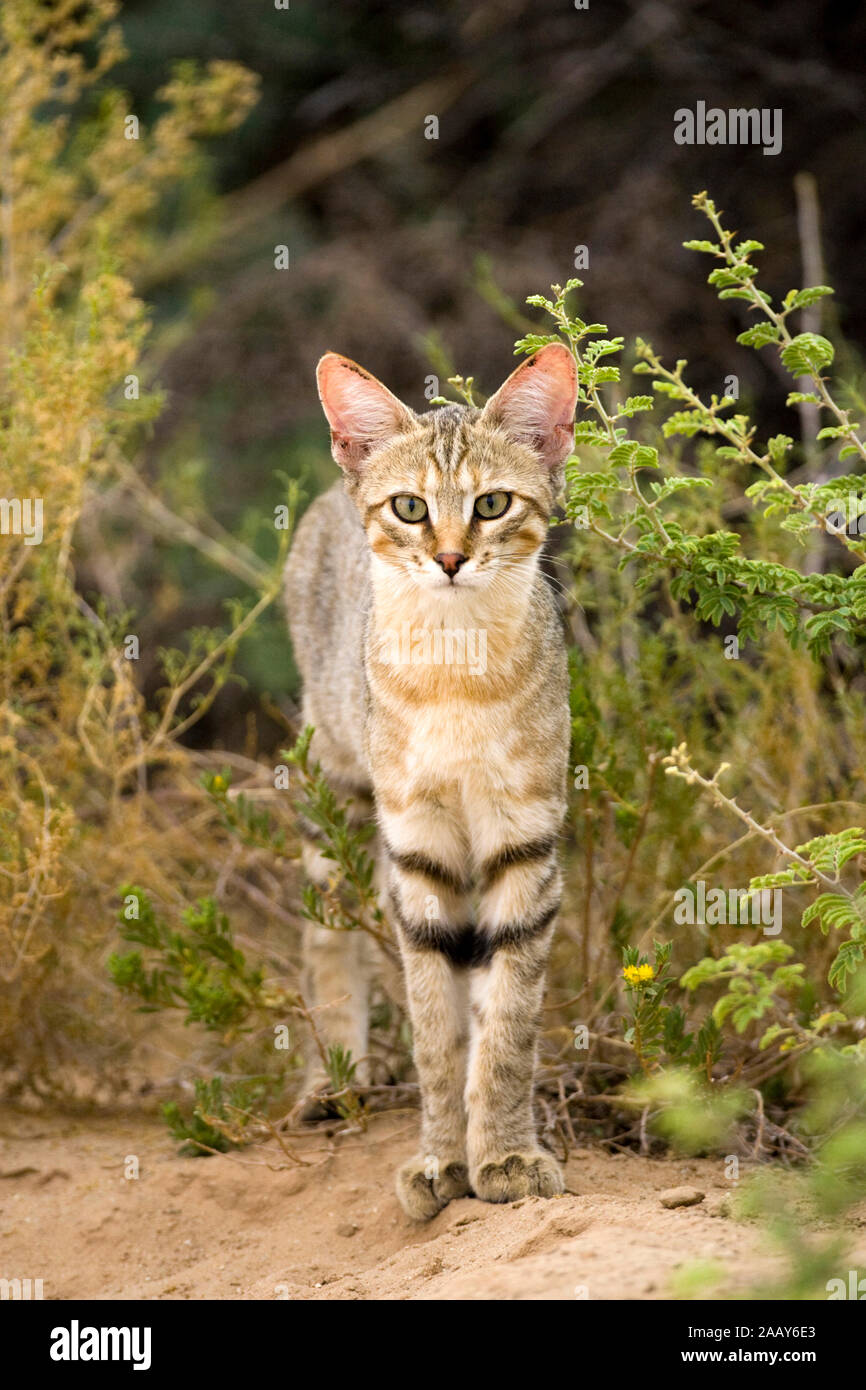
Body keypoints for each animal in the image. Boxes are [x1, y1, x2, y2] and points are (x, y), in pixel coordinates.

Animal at [287, 344, 578, 1217]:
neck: (458, 671)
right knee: (329, 941)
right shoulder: (417, 851)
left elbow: (506, 1026)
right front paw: (442, 1158)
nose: (450, 558)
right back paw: (332, 1080)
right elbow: (435, 1035)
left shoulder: (524, 843)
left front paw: (505, 1154)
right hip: (333, 790)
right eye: (411, 508)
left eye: (492, 503)